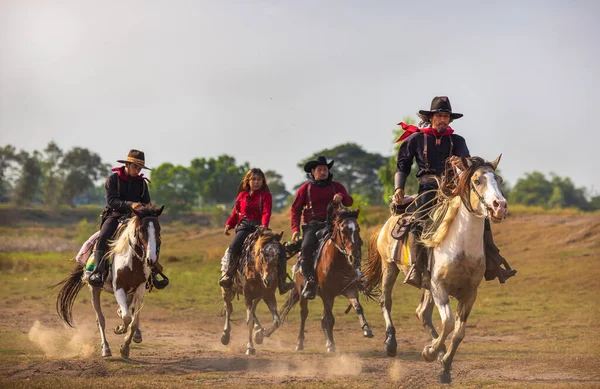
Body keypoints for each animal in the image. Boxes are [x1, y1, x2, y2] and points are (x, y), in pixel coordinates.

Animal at [56, 205, 163, 360]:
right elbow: (126, 318)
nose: (151, 259)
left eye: (159, 229)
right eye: (141, 229)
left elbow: (134, 321)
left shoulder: (140, 290)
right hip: (94, 289)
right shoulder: (118, 288)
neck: (131, 260)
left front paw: (125, 347)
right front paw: (120, 330)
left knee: (125, 312)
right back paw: (106, 349)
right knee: (100, 320)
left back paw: (135, 334)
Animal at [220, 224, 286, 354]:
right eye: (262, 253)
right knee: (229, 308)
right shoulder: (248, 294)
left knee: (253, 310)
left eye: (277, 254)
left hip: (258, 296)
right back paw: (225, 335)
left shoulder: (269, 295)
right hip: (228, 291)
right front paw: (250, 347)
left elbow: (277, 321)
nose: (268, 280)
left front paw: (260, 335)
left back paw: (258, 330)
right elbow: (249, 320)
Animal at [282, 205, 376, 354]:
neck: (338, 262)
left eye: (358, 229)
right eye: (343, 230)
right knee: (304, 314)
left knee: (322, 319)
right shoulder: (328, 294)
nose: (354, 257)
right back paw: (300, 343)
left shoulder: (350, 289)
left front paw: (367, 329)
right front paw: (331, 344)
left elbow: (358, 307)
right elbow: (330, 319)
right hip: (302, 292)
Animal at [364, 156, 508, 384]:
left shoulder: (469, 293)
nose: (499, 206)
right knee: (385, 301)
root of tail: (387, 223)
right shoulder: (440, 288)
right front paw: (429, 353)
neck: (461, 247)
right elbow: (448, 323)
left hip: (425, 284)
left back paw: (437, 350)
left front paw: (445, 367)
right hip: (390, 267)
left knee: (422, 313)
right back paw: (391, 343)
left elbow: (458, 333)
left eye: (500, 180)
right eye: (477, 181)